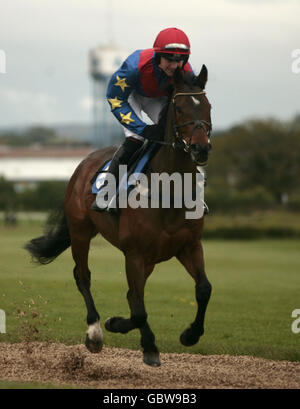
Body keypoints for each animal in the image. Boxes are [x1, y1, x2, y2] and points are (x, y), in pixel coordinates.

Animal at [25, 64, 213, 366]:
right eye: (179, 108)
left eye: (207, 106)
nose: (201, 148)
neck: (168, 189)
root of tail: (82, 163)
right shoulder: (134, 254)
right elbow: (137, 309)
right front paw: (116, 325)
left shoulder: (189, 245)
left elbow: (203, 289)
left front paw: (189, 335)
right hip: (81, 232)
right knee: (83, 276)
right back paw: (95, 333)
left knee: (132, 294)